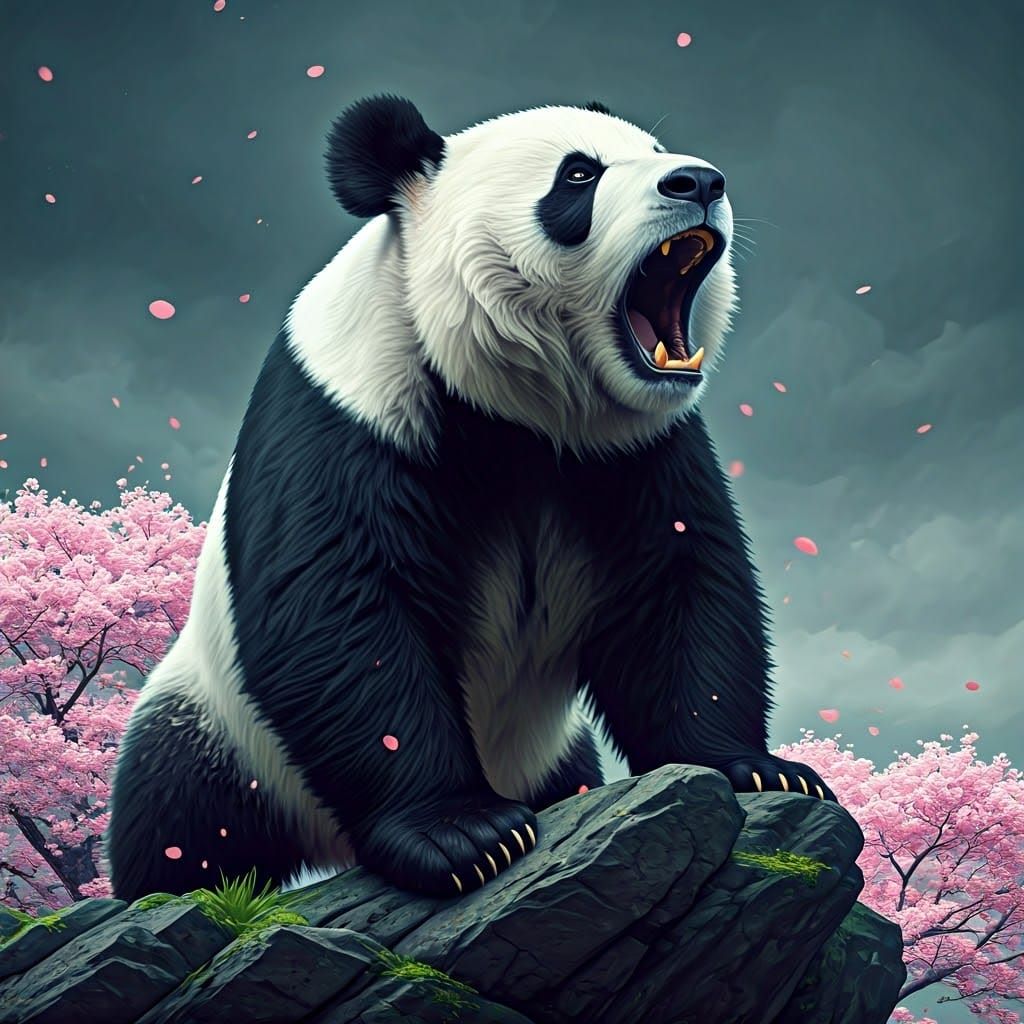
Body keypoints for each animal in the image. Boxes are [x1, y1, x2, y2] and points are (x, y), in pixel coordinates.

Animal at [107, 95, 836, 903]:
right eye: (578, 175)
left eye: (654, 151)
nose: (699, 181)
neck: (519, 415)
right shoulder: (350, 411)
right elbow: (342, 608)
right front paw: (462, 836)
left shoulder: (638, 452)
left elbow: (680, 584)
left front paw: (757, 770)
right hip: (215, 724)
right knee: (180, 817)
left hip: (551, 752)